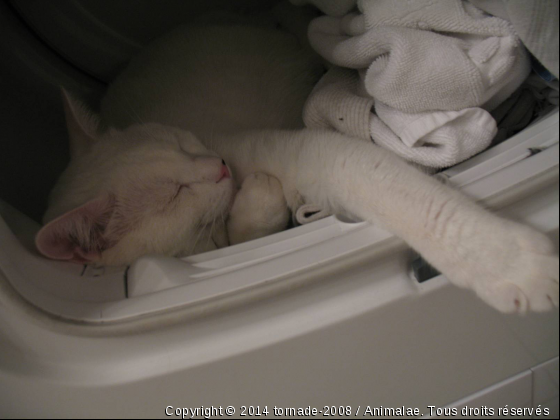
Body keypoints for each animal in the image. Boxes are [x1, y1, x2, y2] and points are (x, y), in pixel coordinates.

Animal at [37, 21, 556, 314]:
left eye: (181, 142)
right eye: (173, 193)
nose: (218, 166)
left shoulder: (314, 154)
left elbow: (415, 202)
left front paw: (508, 260)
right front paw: (257, 200)